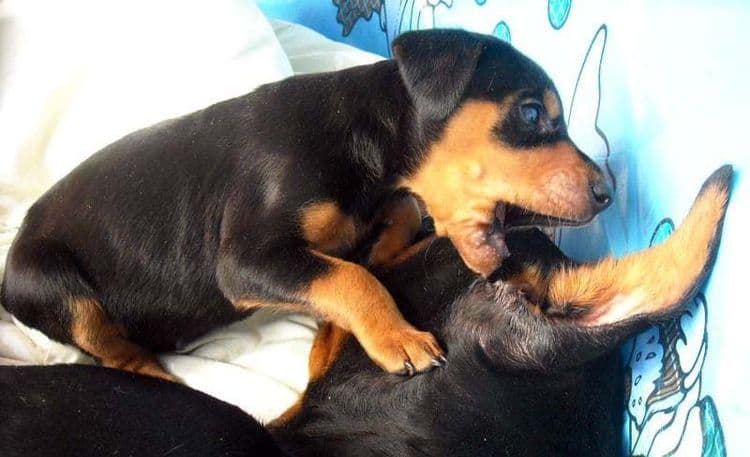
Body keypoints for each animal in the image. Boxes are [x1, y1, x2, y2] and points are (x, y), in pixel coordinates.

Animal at [0, 28, 612, 378]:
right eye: (531, 113)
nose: (608, 192)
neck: (368, 144)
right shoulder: (245, 259)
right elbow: (352, 278)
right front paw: (399, 338)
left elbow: (388, 229)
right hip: (51, 282)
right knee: (111, 349)